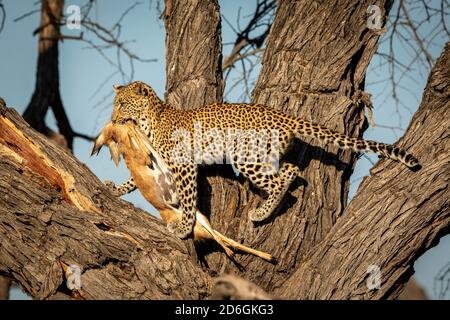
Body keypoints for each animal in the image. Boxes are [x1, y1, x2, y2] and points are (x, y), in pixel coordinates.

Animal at [105, 81, 422, 239]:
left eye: (122, 104)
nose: (113, 119)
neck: (149, 120)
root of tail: (281, 115)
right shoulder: (159, 162)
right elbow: (134, 180)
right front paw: (114, 190)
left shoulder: (183, 166)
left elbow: (188, 197)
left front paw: (184, 227)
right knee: (291, 169)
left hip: (246, 156)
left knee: (283, 181)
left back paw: (261, 213)